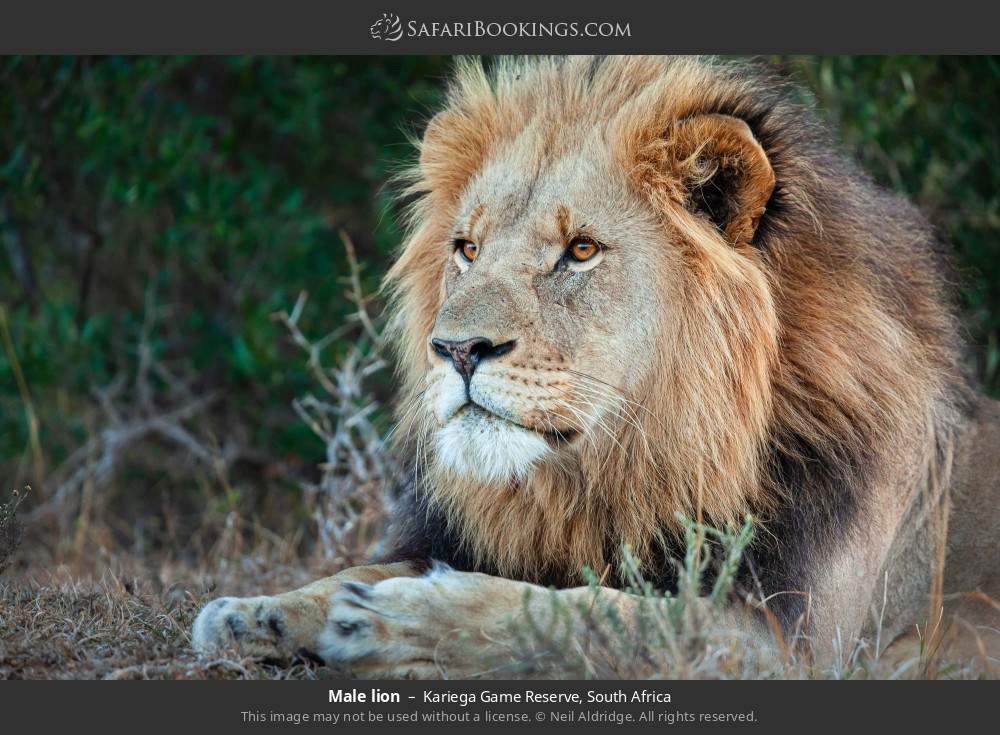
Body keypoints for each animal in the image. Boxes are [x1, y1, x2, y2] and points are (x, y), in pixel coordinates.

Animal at [192, 56, 1000, 677]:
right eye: (468, 248)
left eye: (580, 250)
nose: (455, 350)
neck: (627, 473)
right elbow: (363, 568)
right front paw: (252, 612)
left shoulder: (791, 642)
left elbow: (589, 616)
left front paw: (399, 620)